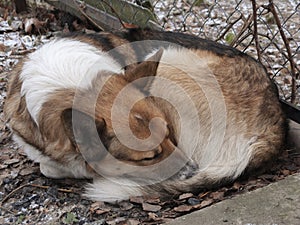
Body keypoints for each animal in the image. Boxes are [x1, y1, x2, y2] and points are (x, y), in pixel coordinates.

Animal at [4, 28, 286, 202]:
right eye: (149, 157)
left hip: (170, 60)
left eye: (170, 133)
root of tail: (275, 123)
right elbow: (48, 164)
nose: (191, 170)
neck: (72, 82)